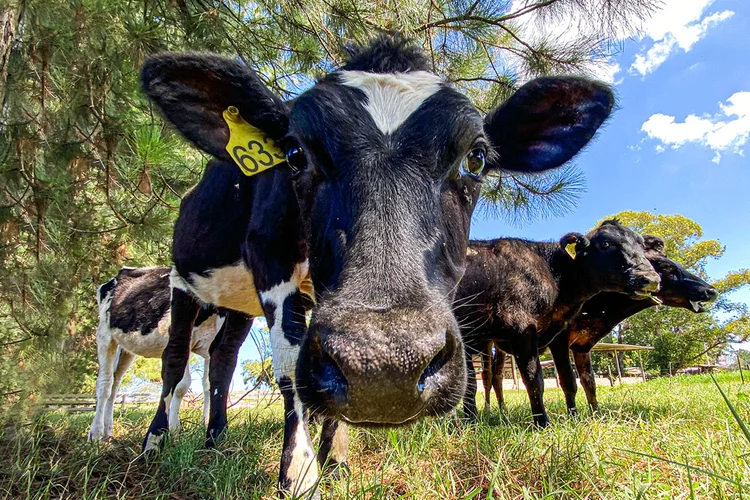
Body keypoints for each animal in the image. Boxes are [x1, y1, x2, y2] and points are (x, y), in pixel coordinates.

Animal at [87, 268, 225, 440]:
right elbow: (182, 385)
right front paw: (174, 429)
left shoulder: (211, 346)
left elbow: (208, 385)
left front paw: (205, 424)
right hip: (105, 334)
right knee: (105, 383)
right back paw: (96, 433)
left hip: (126, 350)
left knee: (115, 384)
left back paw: (108, 432)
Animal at [141, 35, 616, 496]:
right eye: (294, 153)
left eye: (476, 158)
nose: (385, 365)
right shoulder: (269, 255)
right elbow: (289, 361)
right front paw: (300, 473)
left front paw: (336, 462)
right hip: (181, 280)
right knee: (175, 360)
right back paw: (155, 443)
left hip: (235, 306)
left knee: (221, 361)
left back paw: (214, 440)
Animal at [456, 221, 660, 428]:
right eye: (605, 244)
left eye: (641, 245)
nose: (651, 279)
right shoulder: (521, 329)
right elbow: (533, 379)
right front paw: (542, 423)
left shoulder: (558, 336)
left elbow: (568, 379)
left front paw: (574, 418)